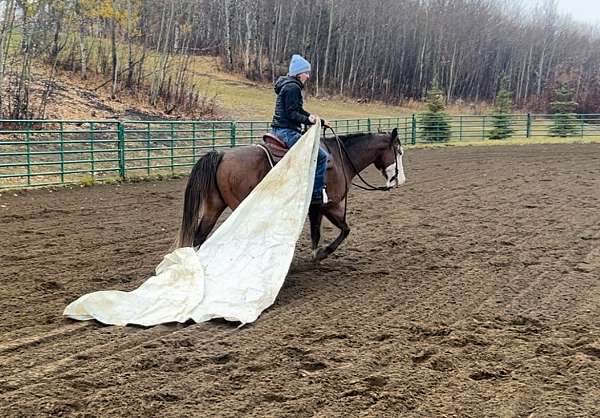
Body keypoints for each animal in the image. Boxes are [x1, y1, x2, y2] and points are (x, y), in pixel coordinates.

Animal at [176, 127, 406, 262]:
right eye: (399, 151)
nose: (400, 180)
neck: (340, 158)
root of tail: (222, 155)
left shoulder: (317, 208)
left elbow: (318, 232)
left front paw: (315, 255)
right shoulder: (329, 205)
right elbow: (344, 230)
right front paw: (322, 253)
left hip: (214, 206)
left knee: (199, 236)